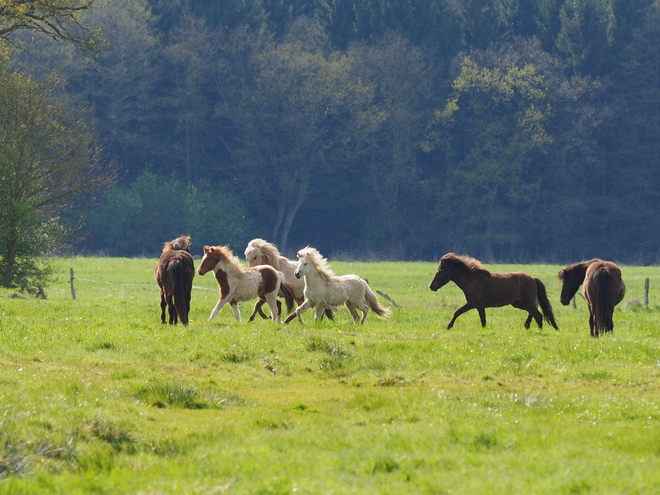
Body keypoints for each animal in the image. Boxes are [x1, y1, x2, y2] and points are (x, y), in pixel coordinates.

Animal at [428, 254, 556, 332]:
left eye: (440, 271)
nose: (431, 286)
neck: (471, 279)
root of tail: (533, 278)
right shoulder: (480, 306)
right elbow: (483, 320)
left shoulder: (472, 303)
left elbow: (457, 312)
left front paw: (448, 326)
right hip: (518, 303)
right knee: (533, 312)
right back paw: (527, 326)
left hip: (525, 302)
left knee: (538, 315)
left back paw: (538, 330)